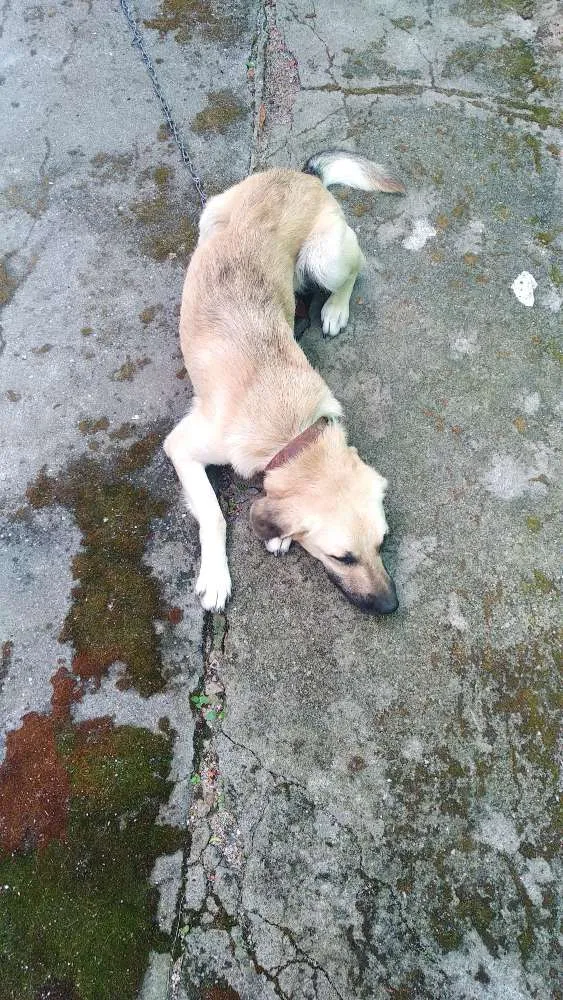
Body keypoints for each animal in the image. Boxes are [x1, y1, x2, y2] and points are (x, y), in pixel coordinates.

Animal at [163, 149, 406, 616]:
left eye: (383, 543)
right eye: (342, 557)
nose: (390, 607)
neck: (291, 433)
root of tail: (302, 176)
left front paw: (278, 537)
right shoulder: (181, 447)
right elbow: (214, 514)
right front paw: (216, 576)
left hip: (324, 256)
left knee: (355, 266)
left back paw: (334, 309)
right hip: (215, 218)